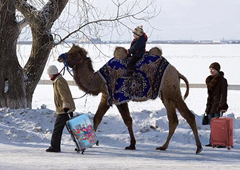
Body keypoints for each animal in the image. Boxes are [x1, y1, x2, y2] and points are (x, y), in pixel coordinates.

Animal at [57, 44, 202, 154]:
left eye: (72, 54)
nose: (59, 57)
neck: (98, 79)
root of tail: (176, 72)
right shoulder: (107, 95)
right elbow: (99, 118)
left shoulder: (118, 96)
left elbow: (126, 120)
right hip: (165, 96)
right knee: (173, 120)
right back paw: (163, 146)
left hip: (172, 91)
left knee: (188, 116)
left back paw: (198, 148)